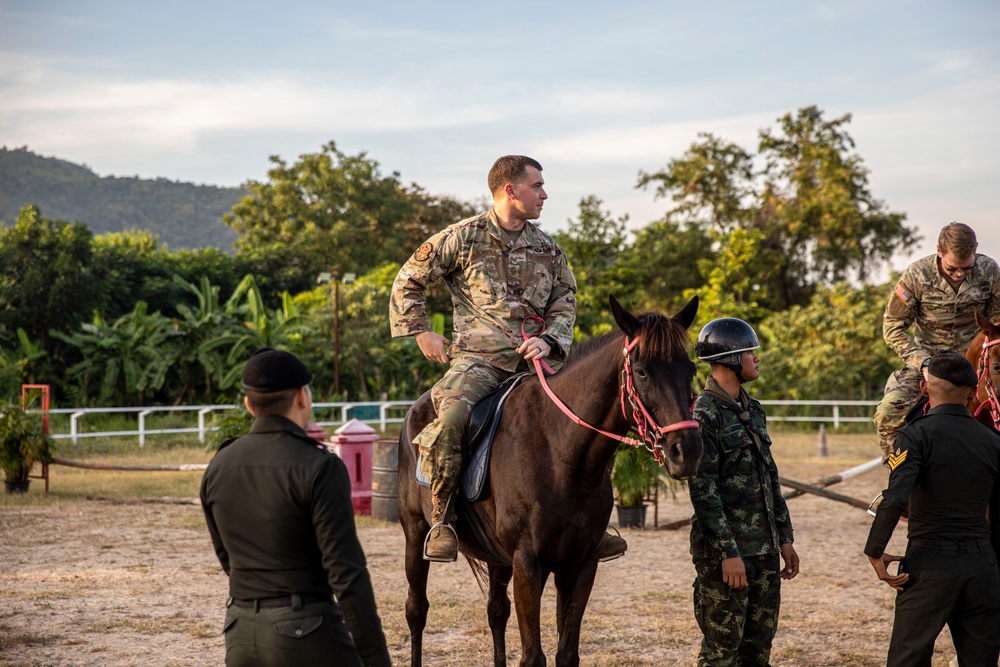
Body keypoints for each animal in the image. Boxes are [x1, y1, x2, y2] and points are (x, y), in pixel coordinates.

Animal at [396, 298, 704, 667]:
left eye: (690, 370)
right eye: (642, 371)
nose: (686, 452)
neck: (561, 455)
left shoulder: (579, 565)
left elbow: (566, 653)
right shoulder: (528, 565)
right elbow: (533, 657)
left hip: (498, 558)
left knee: (496, 612)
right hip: (415, 534)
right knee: (416, 611)